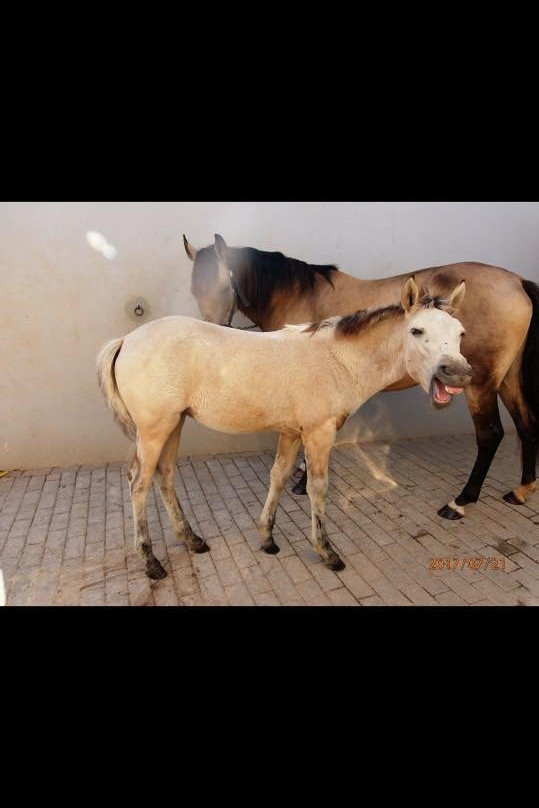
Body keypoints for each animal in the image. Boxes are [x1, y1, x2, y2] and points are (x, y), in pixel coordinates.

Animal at [97, 276, 471, 579]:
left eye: (460, 333)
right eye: (417, 331)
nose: (458, 373)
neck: (337, 359)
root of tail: (126, 340)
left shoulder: (292, 432)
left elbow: (278, 476)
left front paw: (267, 539)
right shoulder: (319, 433)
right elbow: (318, 488)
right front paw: (327, 552)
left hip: (173, 425)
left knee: (165, 477)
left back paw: (192, 540)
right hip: (154, 430)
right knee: (139, 484)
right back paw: (151, 562)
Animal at [185, 233, 539, 519]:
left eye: (223, 286)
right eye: (194, 289)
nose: (210, 336)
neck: (297, 294)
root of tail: (516, 281)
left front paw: (301, 481)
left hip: (479, 384)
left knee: (490, 435)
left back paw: (460, 502)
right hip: (506, 379)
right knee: (527, 423)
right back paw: (522, 489)